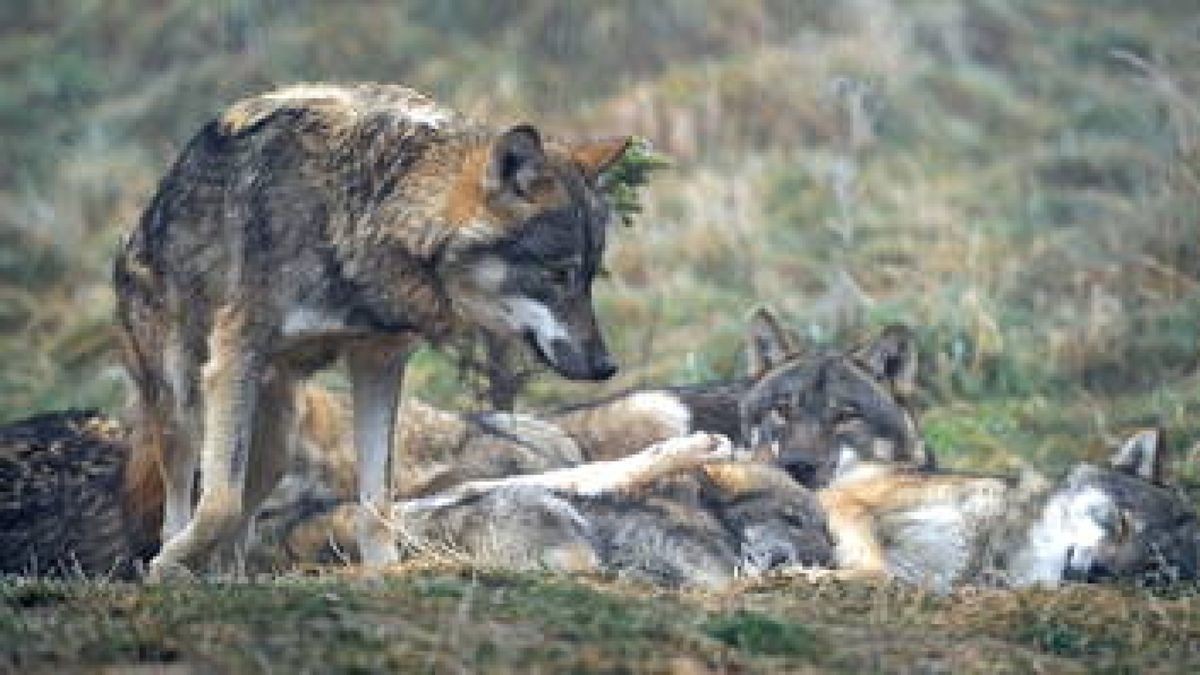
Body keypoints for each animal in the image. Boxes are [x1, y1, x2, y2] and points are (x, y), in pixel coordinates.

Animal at [113, 83, 630, 576]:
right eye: (557, 274)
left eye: (589, 276)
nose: (606, 366)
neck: (363, 211)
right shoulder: (236, 354)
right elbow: (218, 503)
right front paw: (168, 565)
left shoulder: (379, 363)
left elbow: (378, 501)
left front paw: (386, 573)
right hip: (184, 404)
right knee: (187, 501)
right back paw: (175, 567)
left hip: (280, 438)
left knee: (243, 518)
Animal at [817, 428, 1200, 589]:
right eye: (1121, 522)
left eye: (1154, 572)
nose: (1099, 572)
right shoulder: (842, 498)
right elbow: (877, 569)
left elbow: (886, 574)